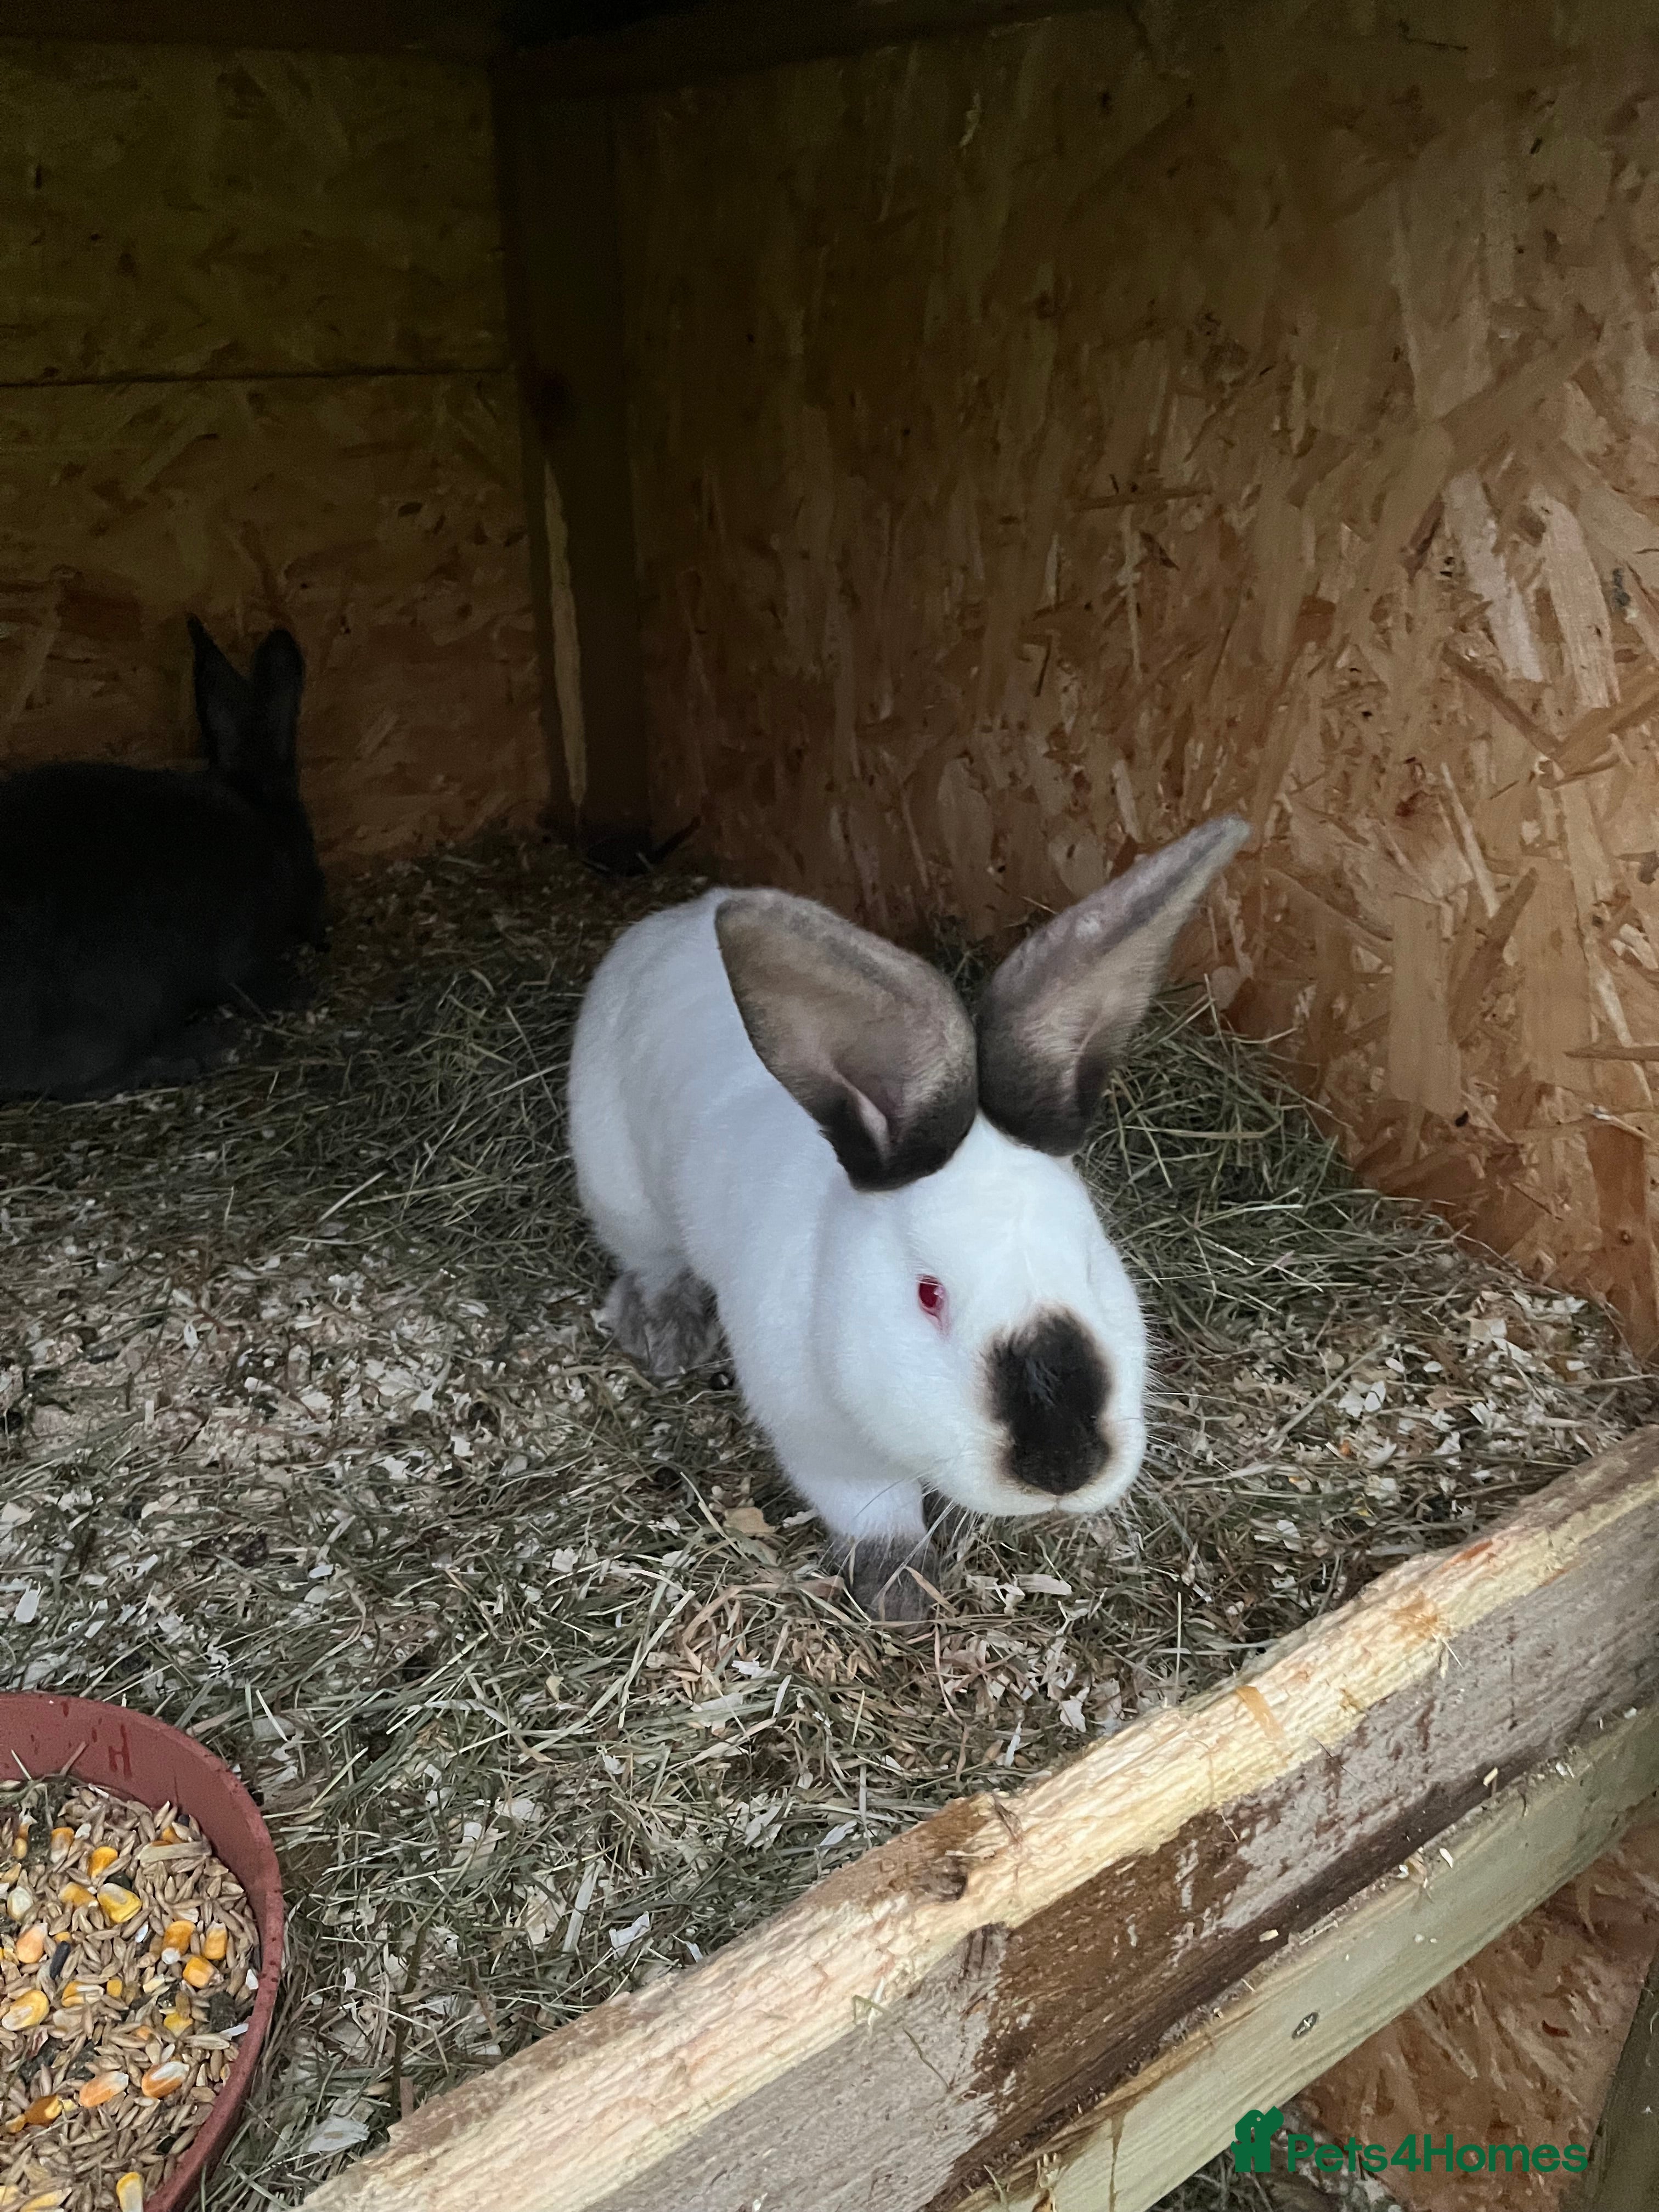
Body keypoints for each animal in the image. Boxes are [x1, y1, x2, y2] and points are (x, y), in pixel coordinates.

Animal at [0, 616, 325, 1104]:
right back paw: (192, 1056)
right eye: (310, 841)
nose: (324, 922)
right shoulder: (245, 957)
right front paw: (300, 995)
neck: (265, 827)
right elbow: (256, 988)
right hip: (102, 1024)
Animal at [567, 813, 1250, 1621]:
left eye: (1093, 1266)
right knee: (647, 1259)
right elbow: (874, 1513)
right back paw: (667, 1333)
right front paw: (900, 1596)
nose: (1064, 1464)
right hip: (617, 1186)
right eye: (928, 1295)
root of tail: (675, 921)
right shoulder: (823, 1446)